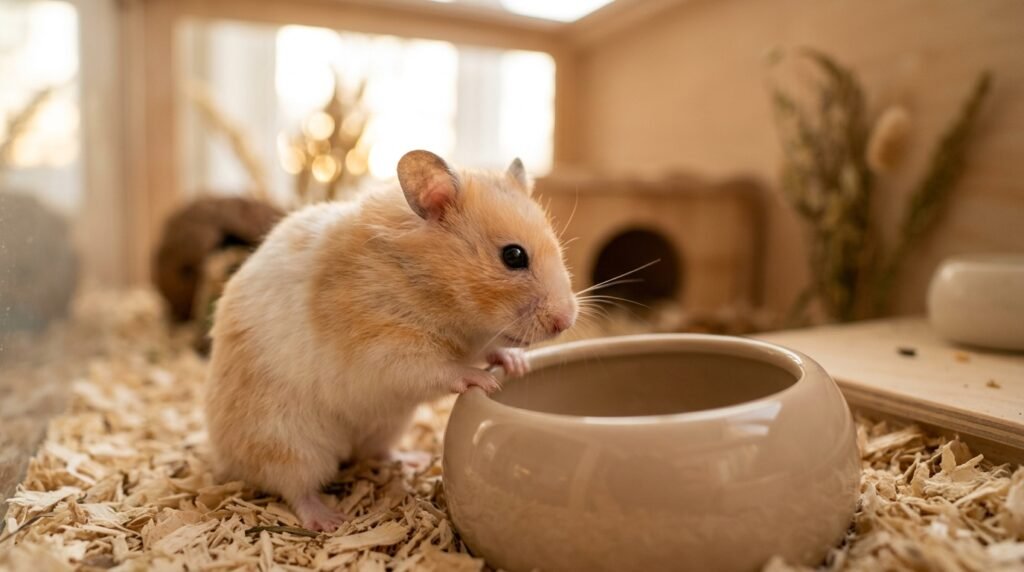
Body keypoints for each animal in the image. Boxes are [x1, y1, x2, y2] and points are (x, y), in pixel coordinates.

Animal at [205, 150, 578, 531]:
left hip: (388, 424)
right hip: (287, 440)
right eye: (513, 256)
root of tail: (224, 457)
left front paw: (517, 364)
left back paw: (413, 459)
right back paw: (329, 520)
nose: (566, 320)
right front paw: (485, 381)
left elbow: (493, 349)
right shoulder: (385, 348)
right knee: (295, 487)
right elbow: (440, 370)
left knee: (376, 451)